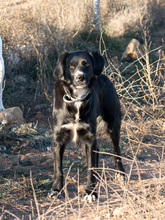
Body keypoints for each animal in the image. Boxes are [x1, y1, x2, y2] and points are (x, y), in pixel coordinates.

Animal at [49, 50, 125, 202]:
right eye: (71, 66)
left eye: (87, 64)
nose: (81, 77)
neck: (77, 98)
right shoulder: (58, 137)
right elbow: (58, 169)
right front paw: (56, 189)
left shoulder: (89, 136)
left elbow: (91, 168)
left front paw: (91, 192)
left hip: (113, 124)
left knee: (116, 149)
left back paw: (120, 172)